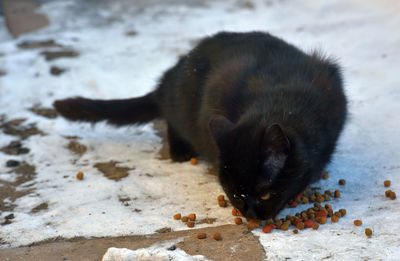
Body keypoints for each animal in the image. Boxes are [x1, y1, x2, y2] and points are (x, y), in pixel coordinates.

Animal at [53, 32, 346, 219]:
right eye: (235, 194)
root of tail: (167, 81)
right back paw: (180, 151)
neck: (281, 104)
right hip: (183, 106)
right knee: (171, 120)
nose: (250, 214)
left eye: (265, 195)